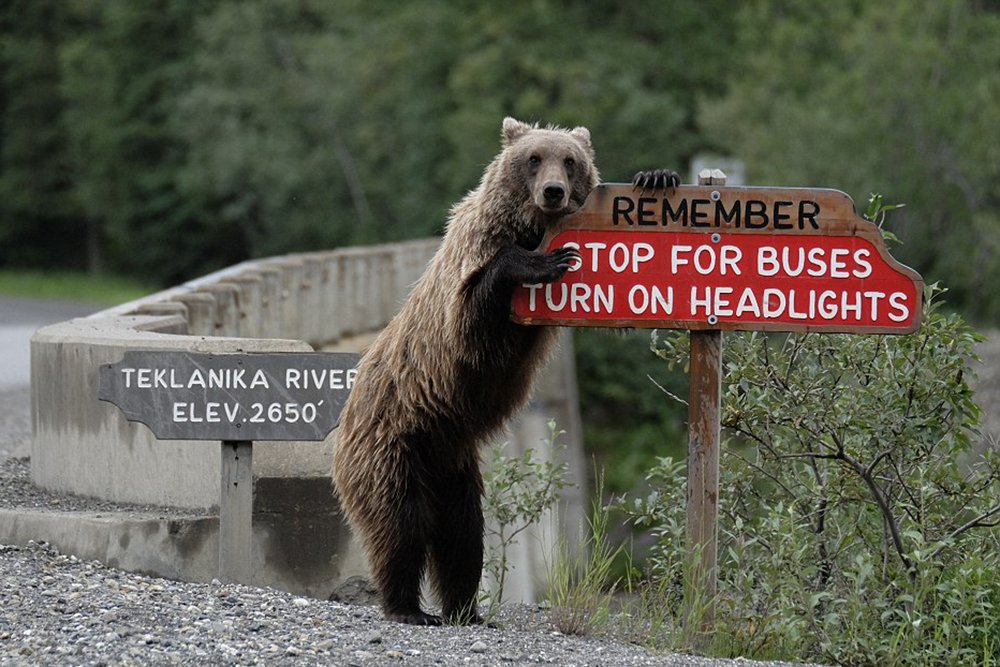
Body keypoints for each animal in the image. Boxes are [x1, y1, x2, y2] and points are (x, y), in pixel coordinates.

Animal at [332, 116, 677, 626]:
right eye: (533, 158)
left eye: (569, 160)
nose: (553, 191)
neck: (528, 225)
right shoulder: (468, 272)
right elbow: (475, 316)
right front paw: (544, 261)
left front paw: (657, 176)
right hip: (393, 443)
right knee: (399, 526)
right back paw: (407, 607)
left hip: (454, 468)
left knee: (463, 537)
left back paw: (466, 609)